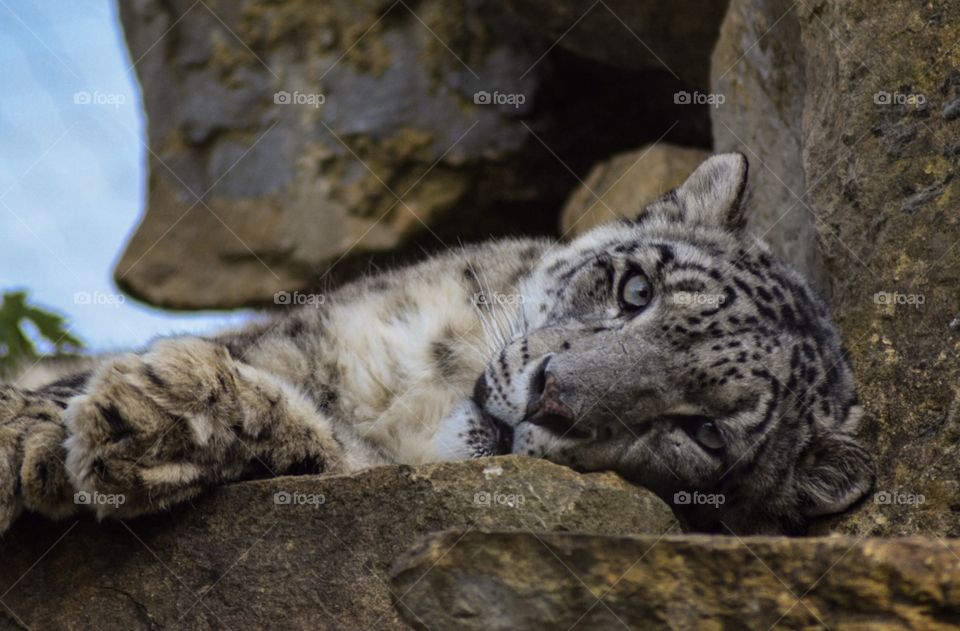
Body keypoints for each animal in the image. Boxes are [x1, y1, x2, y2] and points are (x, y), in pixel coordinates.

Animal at [0, 153, 874, 535]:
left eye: (705, 431)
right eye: (636, 290)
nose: (551, 394)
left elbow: (318, 442)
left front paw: (146, 422)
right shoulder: (303, 335)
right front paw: (37, 432)